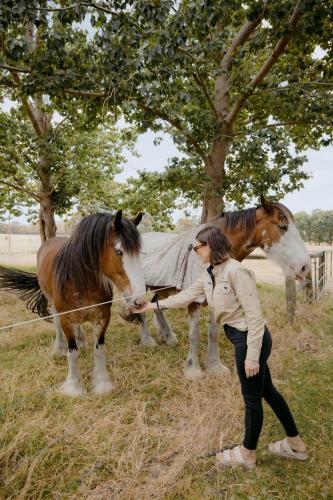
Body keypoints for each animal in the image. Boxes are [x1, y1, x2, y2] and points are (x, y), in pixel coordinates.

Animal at [0, 210, 145, 394]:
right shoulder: (67, 319)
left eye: (138, 252)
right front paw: (73, 387)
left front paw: (102, 384)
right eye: (119, 252)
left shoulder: (103, 317)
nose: (139, 299)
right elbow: (73, 353)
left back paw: (81, 339)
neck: (80, 280)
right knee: (56, 324)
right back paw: (58, 348)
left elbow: (99, 350)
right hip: (53, 305)